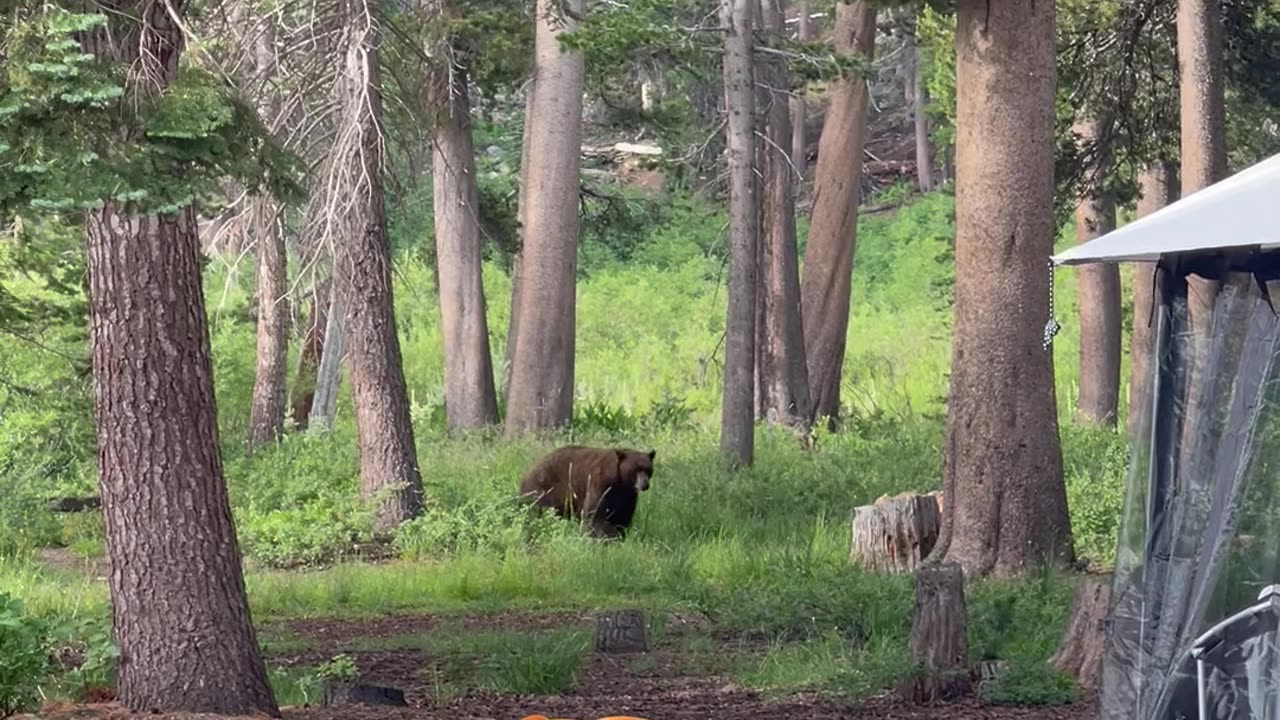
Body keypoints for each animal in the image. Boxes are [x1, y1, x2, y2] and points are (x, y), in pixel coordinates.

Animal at [519, 443, 660, 538]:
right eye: (636, 469)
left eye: (648, 469)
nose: (645, 484)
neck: (619, 480)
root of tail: (527, 473)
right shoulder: (599, 483)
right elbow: (595, 513)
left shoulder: (627, 494)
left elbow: (622, 515)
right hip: (543, 490)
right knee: (536, 512)